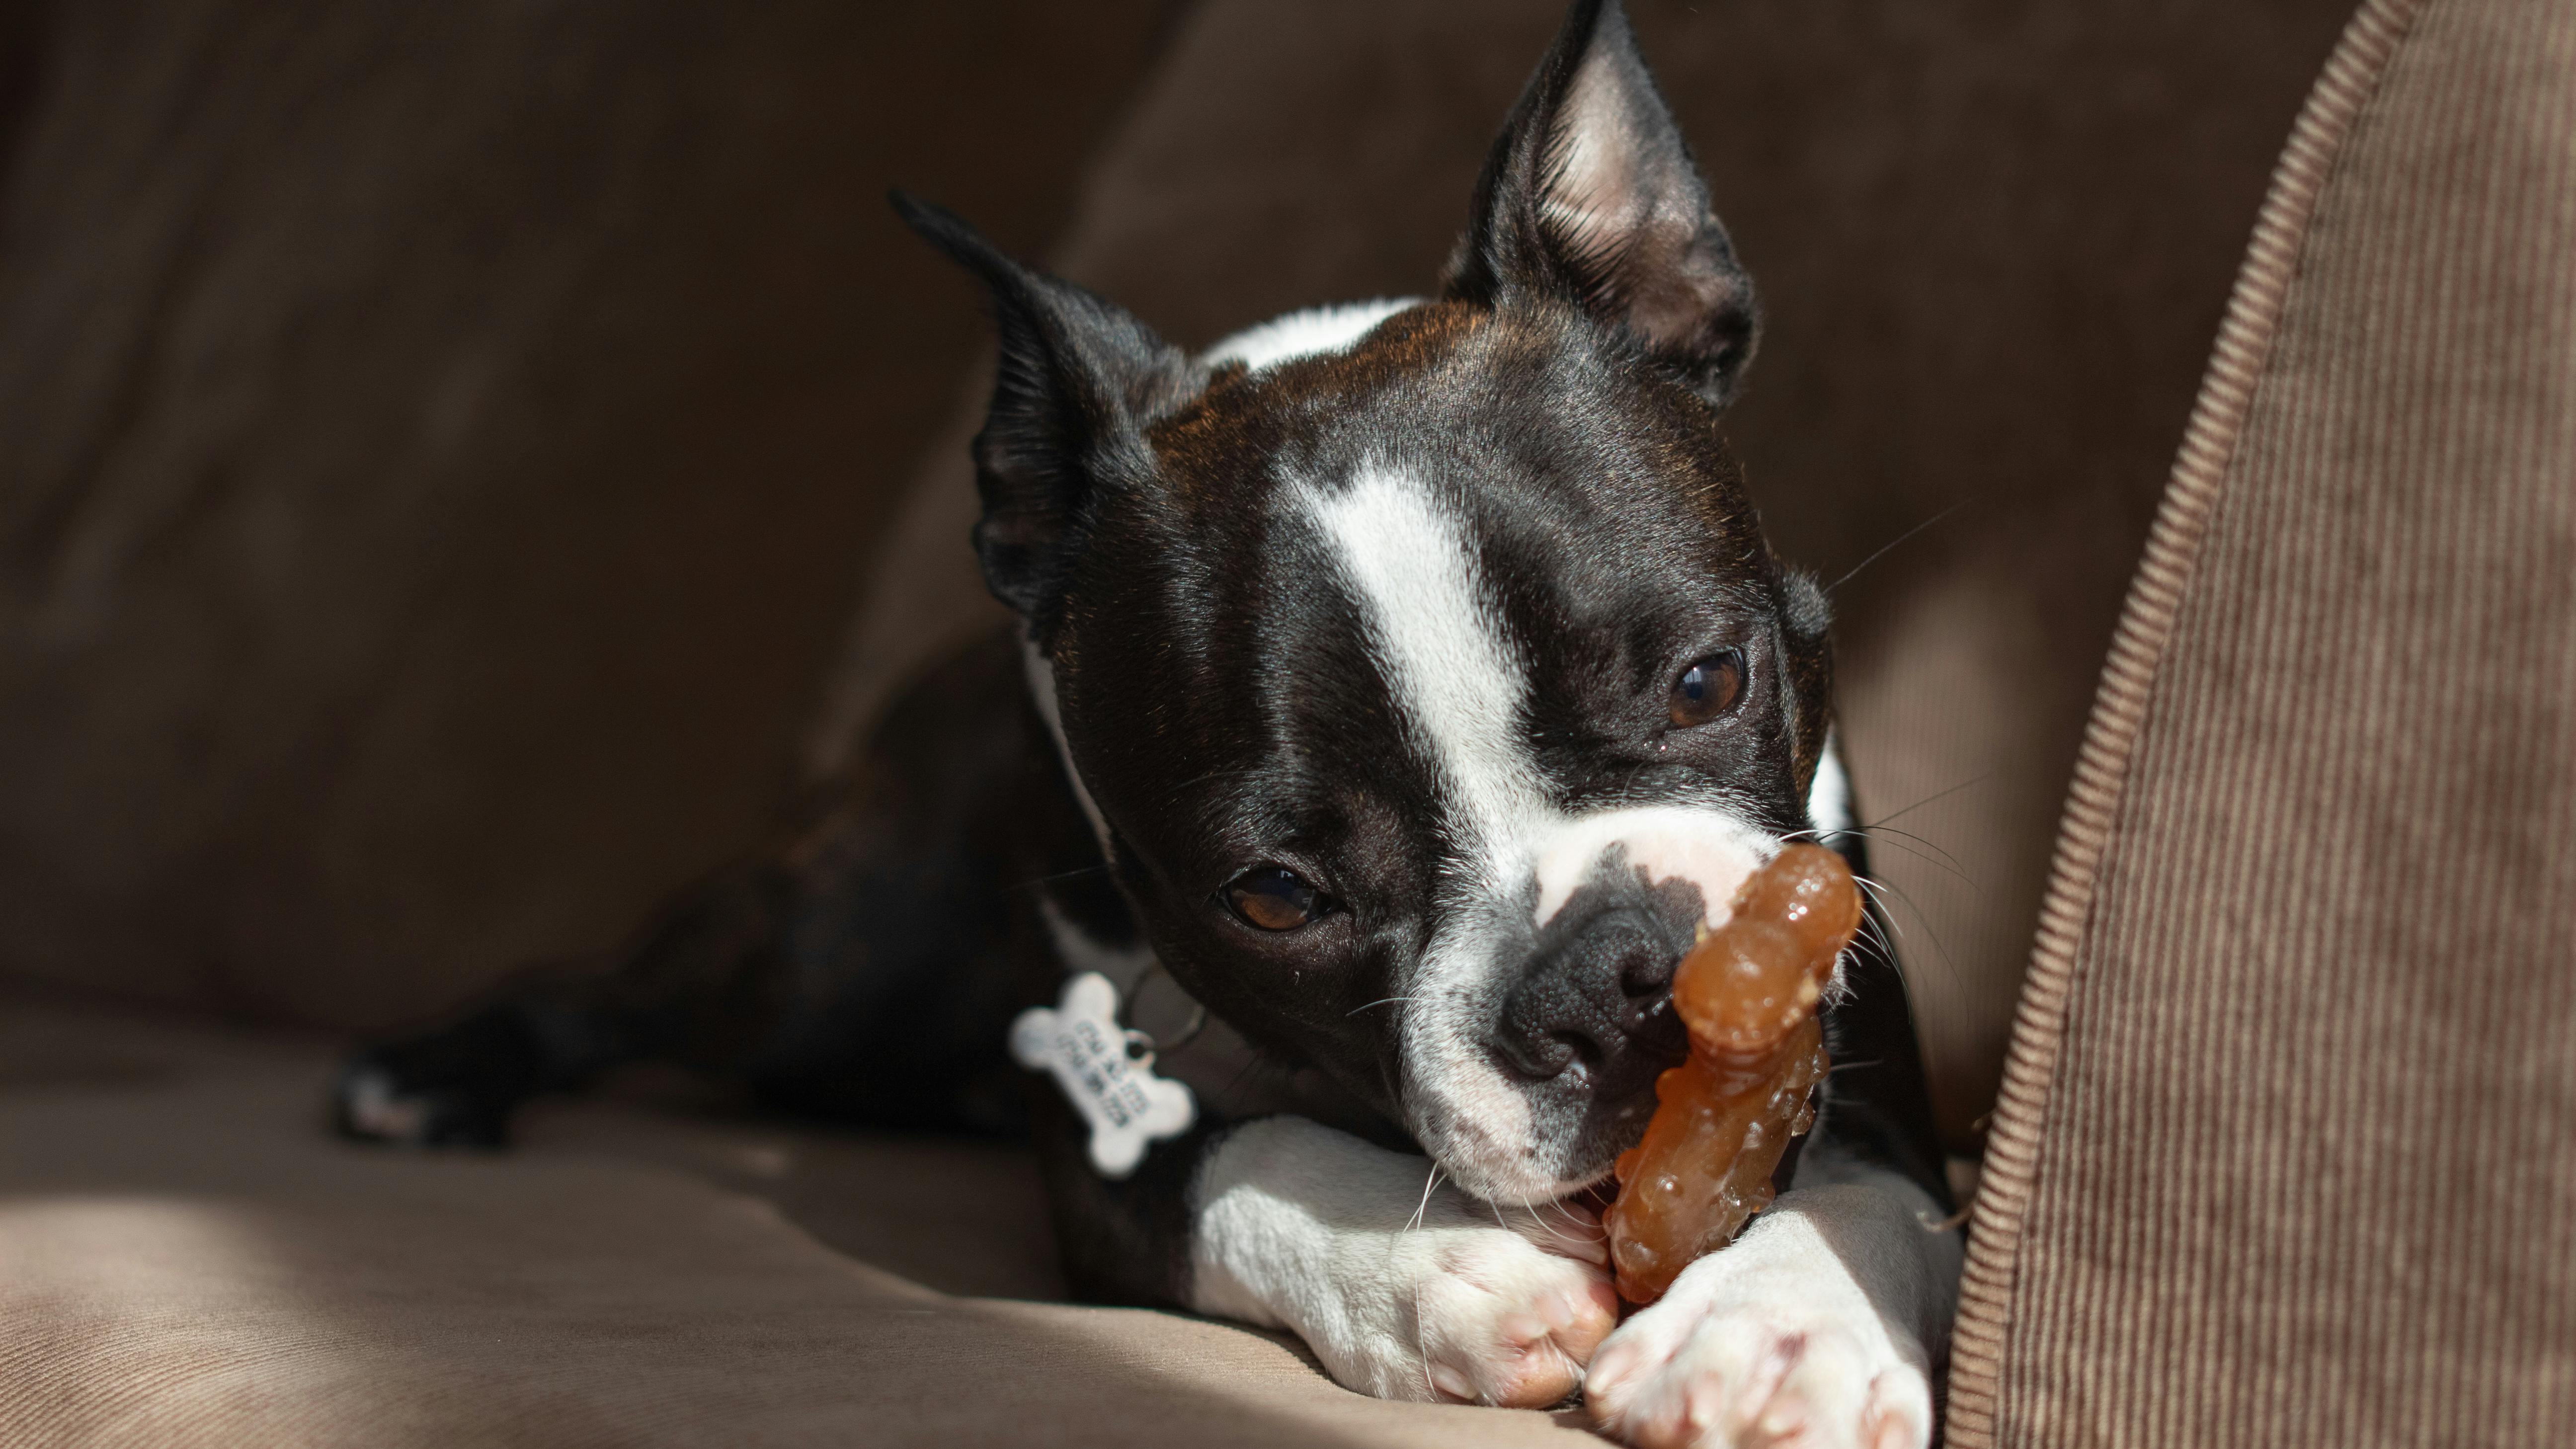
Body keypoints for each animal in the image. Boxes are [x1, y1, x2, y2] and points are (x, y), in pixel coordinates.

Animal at [337, 5, 1947, 1433]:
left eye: (1708, 683)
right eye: (1276, 896)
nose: (1611, 980)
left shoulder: (1857, 1038)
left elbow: (1869, 1185)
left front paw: (1773, 1327)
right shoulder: (1094, 1143)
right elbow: (1232, 1166)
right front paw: (1441, 1269)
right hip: (829, 960)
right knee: (629, 984)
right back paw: (428, 1073)